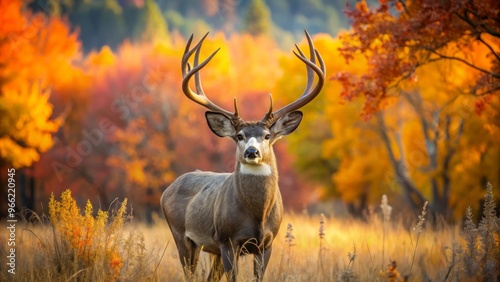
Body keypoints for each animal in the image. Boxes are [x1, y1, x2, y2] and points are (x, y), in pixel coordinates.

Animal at [160, 30, 324, 282]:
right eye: (239, 135)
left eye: (267, 135)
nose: (251, 152)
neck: (256, 216)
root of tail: (167, 190)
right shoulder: (227, 240)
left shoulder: (267, 243)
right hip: (183, 236)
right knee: (190, 273)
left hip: (212, 249)